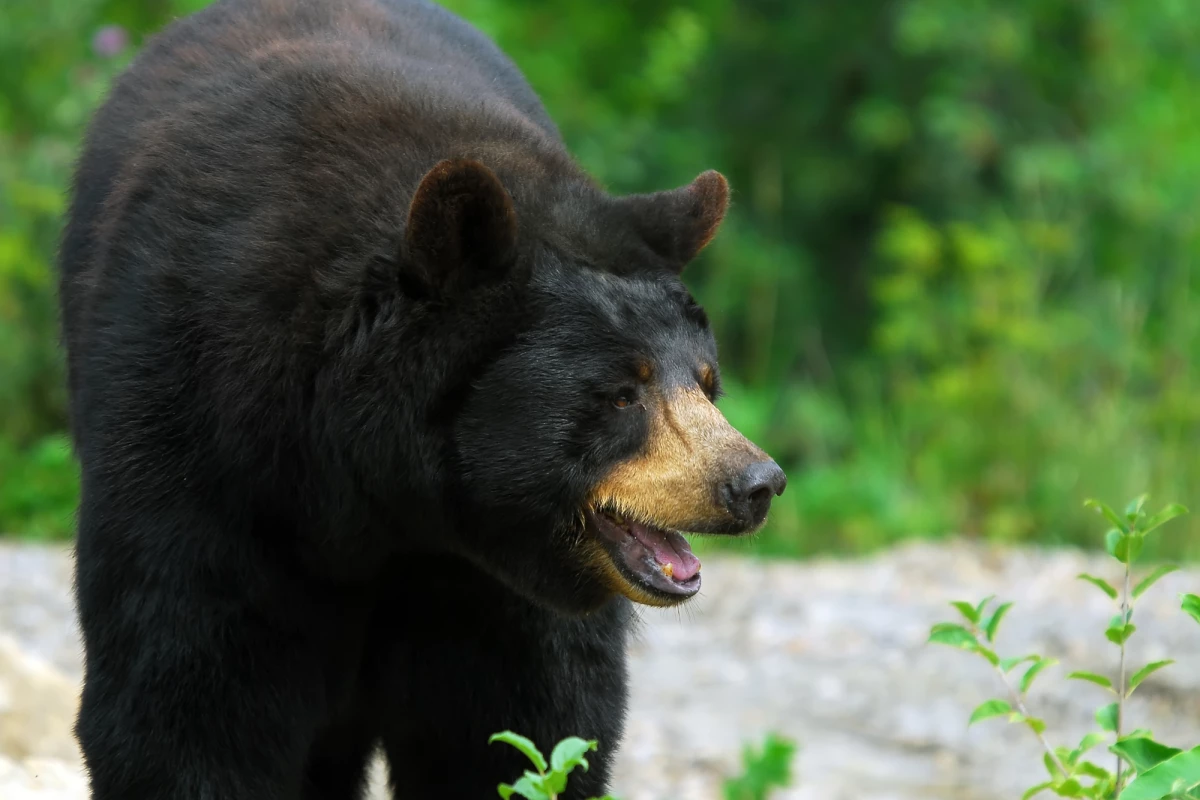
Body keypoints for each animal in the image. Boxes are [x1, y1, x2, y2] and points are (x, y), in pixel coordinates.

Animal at [57, 0, 787, 797]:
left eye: (707, 382)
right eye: (623, 392)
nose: (755, 482)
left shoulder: (485, 581)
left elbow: (521, 721)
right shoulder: (199, 436)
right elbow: (185, 695)